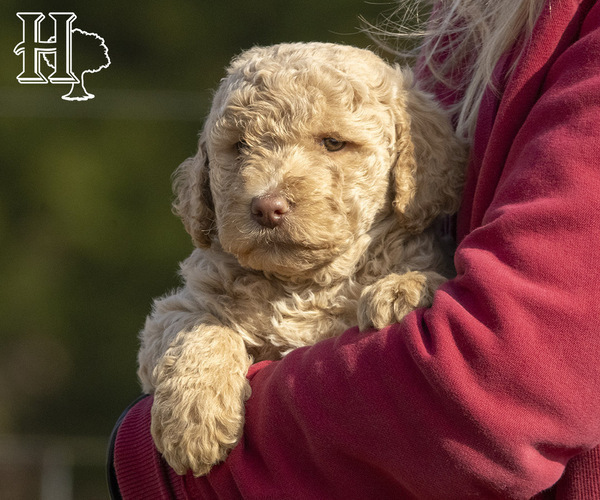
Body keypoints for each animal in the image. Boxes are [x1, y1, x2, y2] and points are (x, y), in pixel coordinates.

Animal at [138, 42, 466, 476]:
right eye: (240, 146)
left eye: (333, 143)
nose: (267, 207)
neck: (302, 284)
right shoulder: (177, 309)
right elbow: (201, 331)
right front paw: (193, 423)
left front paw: (402, 291)